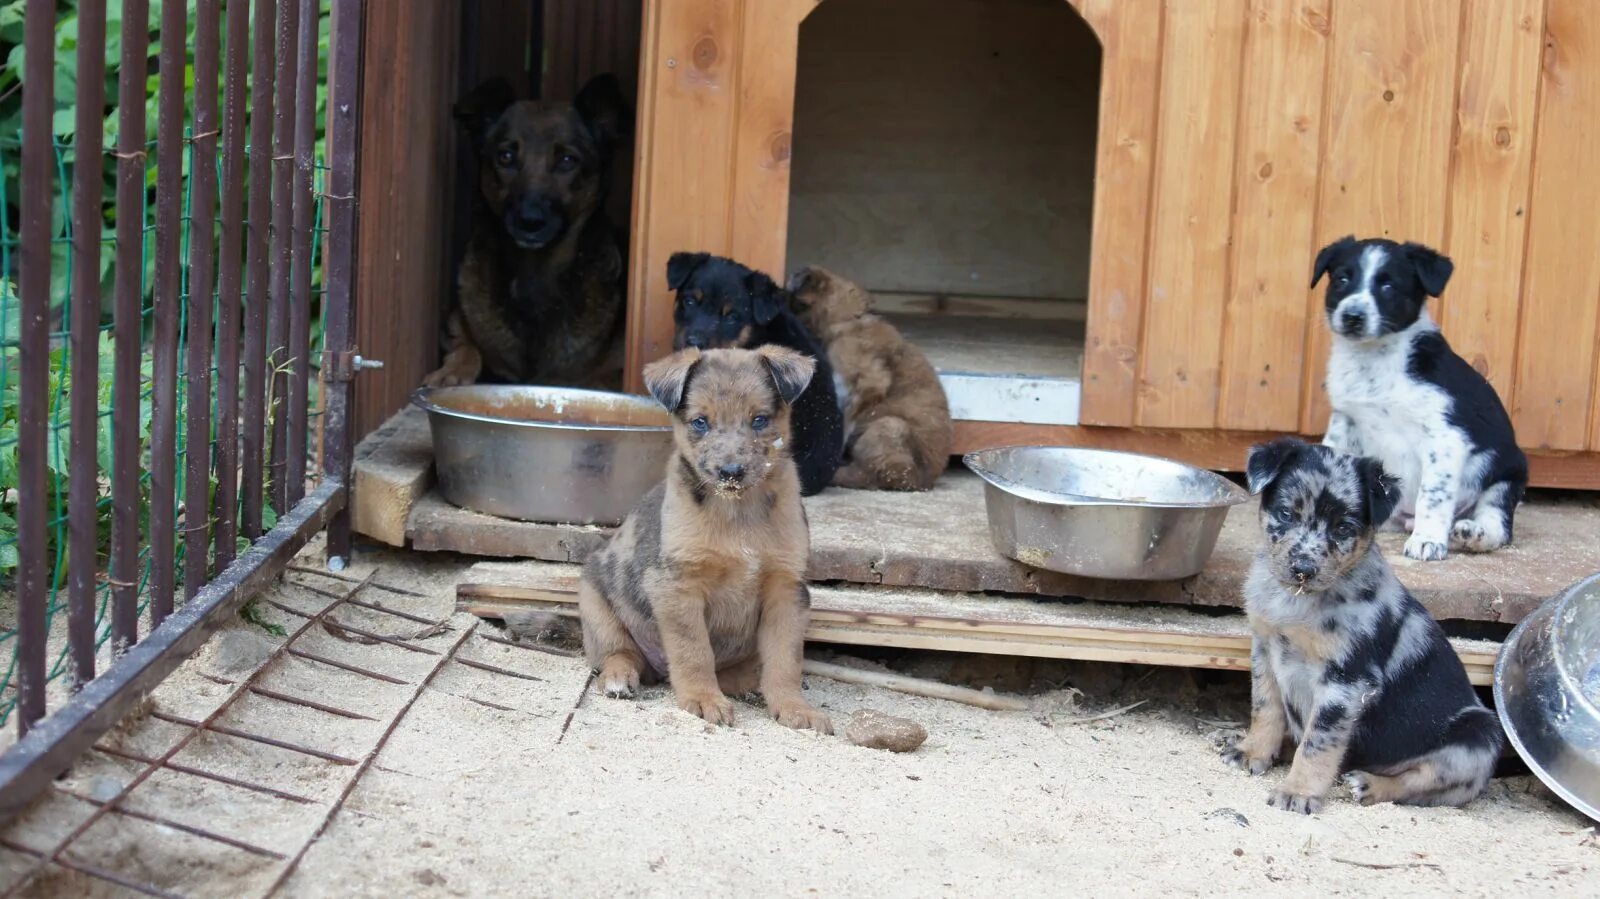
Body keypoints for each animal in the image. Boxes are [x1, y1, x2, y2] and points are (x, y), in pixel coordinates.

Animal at [425, 75, 630, 385]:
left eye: (567, 160)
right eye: (506, 156)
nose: (529, 222)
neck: (536, 273)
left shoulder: (615, 370)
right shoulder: (457, 326)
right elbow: (467, 347)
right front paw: (452, 372)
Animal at [576, 342, 832, 729]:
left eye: (759, 420)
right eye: (700, 422)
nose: (731, 472)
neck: (737, 512)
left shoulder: (786, 588)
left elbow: (785, 660)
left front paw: (794, 707)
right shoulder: (678, 584)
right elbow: (693, 651)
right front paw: (702, 699)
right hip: (594, 601)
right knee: (619, 652)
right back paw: (620, 678)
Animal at [787, 265, 947, 489]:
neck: (849, 320)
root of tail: (922, 483)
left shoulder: (867, 384)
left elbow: (846, 424)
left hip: (888, 426)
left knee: (875, 474)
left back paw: (839, 475)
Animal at [1216, 435, 1504, 812]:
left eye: (1343, 528)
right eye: (1286, 513)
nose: (1303, 569)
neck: (1297, 602)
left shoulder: (1347, 679)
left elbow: (1318, 743)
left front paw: (1298, 791)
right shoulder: (1264, 650)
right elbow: (1265, 708)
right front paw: (1253, 751)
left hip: (1476, 738)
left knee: (1418, 784)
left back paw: (1367, 784)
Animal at [1312, 235, 1523, 556]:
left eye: (1388, 286)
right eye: (1342, 279)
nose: (1352, 317)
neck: (1374, 361)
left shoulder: (1445, 436)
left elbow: (1433, 494)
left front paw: (1427, 539)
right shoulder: (1345, 422)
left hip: (1504, 476)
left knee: (1497, 524)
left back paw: (1471, 533)